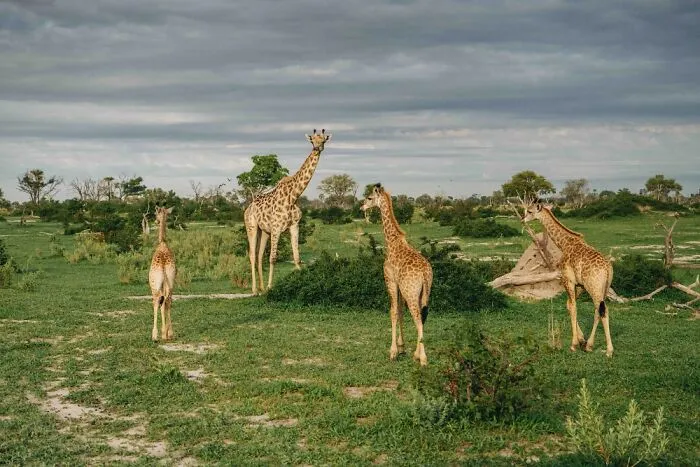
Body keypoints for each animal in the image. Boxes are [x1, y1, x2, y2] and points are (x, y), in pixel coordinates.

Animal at [244, 129, 332, 294]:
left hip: (264, 231)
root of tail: (247, 208)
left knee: (259, 255)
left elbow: (297, 257)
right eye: (312, 140)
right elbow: (273, 258)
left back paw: (261, 287)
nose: (317, 148)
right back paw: (255, 290)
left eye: (323, 140)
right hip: (251, 226)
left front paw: (303, 283)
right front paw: (271, 287)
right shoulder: (277, 228)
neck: (294, 195)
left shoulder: (294, 226)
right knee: (252, 255)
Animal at [361, 184, 433, 366]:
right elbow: (400, 311)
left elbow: (392, 312)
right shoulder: (399, 286)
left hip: (411, 292)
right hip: (424, 292)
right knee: (423, 316)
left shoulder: (390, 281)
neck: (392, 242)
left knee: (417, 318)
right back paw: (417, 354)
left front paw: (393, 352)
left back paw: (423, 359)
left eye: (369, 198)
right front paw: (402, 347)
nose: (361, 206)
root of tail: (424, 273)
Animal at [522, 203, 614, 357]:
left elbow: (573, 306)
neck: (564, 244)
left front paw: (574, 344)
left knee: (603, 311)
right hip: (604, 289)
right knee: (598, 310)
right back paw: (589, 345)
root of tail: (607, 269)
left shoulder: (568, 280)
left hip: (594, 288)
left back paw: (609, 351)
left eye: (529, 211)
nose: (523, 219)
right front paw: (582, 340)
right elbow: (569, 305)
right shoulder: (580, 285)